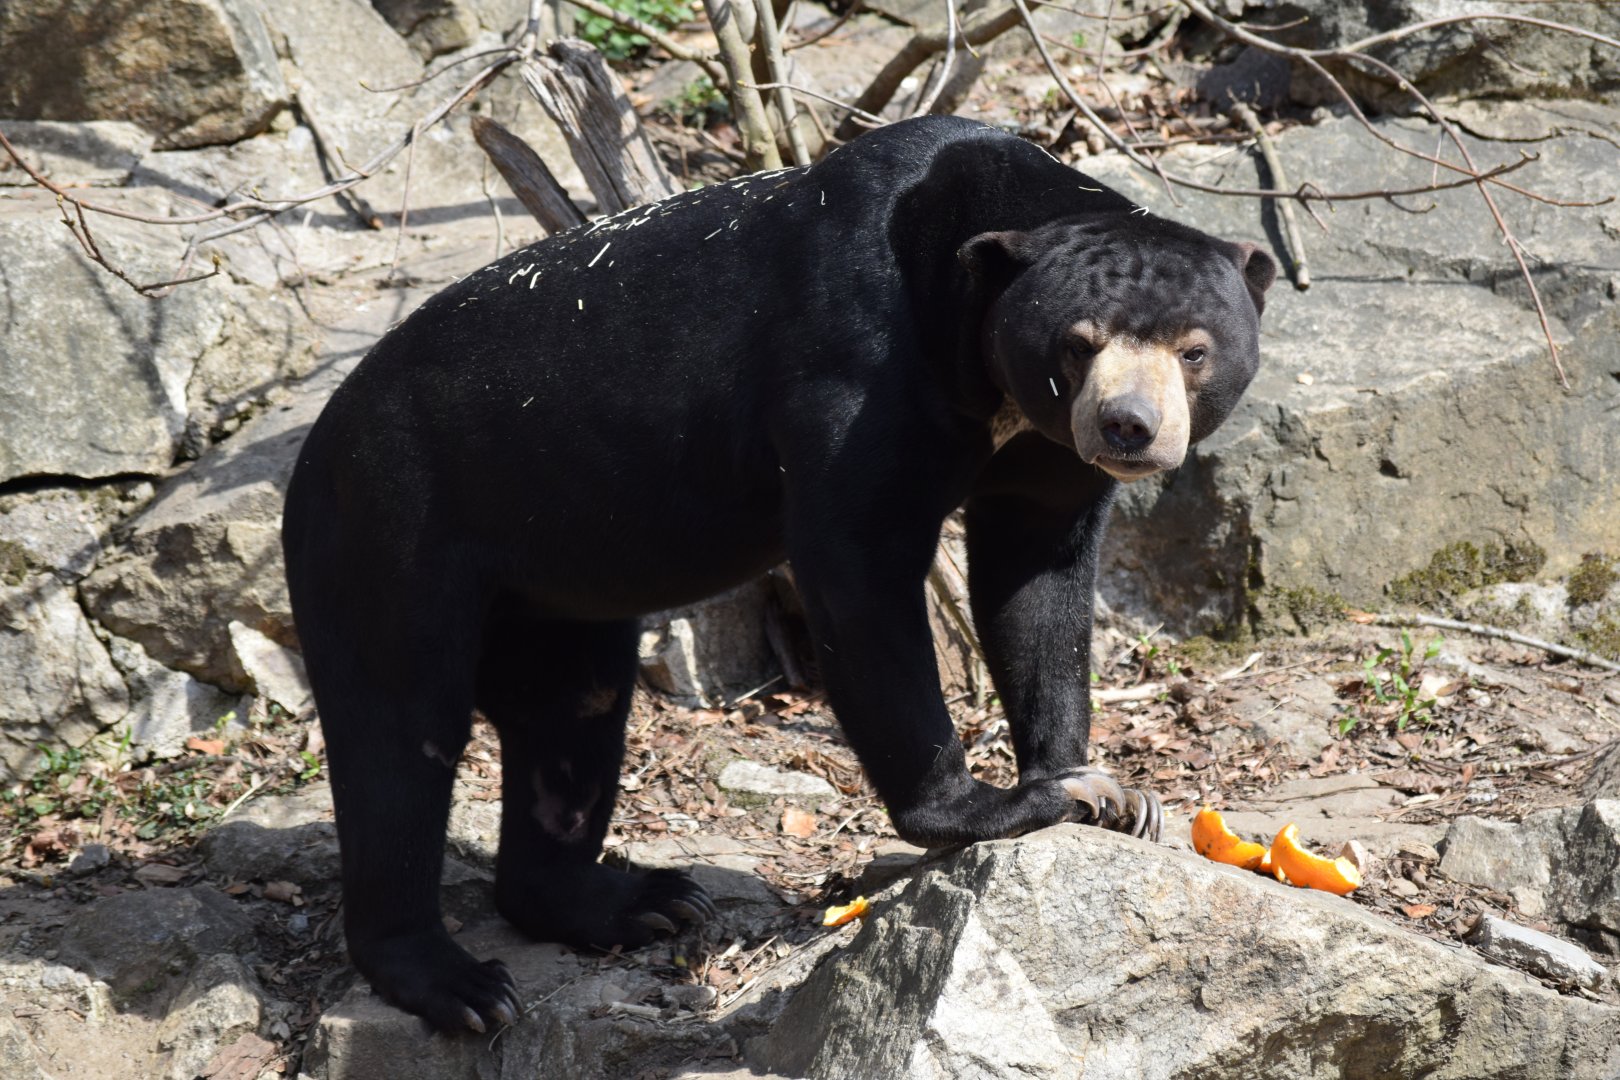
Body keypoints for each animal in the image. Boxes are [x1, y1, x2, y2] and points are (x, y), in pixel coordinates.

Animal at [281, 114, 1275, 1032]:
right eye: (1076, 344)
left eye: (1194, 350)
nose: (1128, 428)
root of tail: (317, 440)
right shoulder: (858, 371)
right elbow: (859, 567)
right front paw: (993, 806)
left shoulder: (1039, 454)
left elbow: (1038, 580)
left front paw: (1106, 791)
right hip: (391, 529)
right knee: (399, 731)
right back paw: (459, 985)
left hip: (548, 586)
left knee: (572, 713)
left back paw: (633, 901)